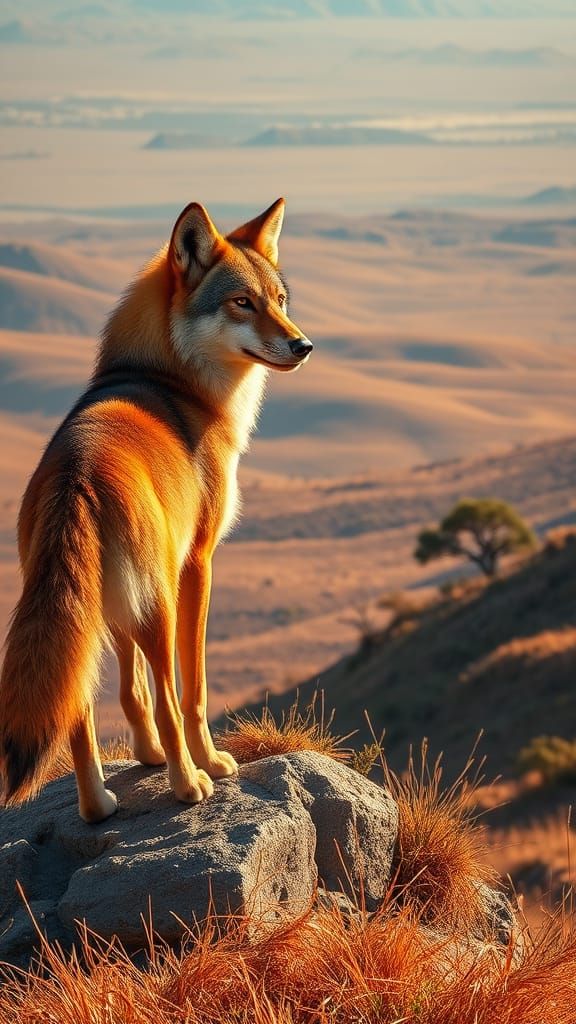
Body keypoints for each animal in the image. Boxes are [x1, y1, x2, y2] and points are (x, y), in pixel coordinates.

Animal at [0, 198, 312, 822]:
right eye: (242, 303)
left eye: (280, 300)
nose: (303, 345)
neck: (170, 380)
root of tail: (76, 472)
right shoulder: (198, 562)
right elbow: (191, 692)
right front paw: (206, 760)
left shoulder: (120, 603)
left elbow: (130, 691)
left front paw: (144, 756)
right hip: (159, 605)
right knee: (168, 693)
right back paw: (190, 784)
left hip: (91, 613)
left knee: (79, 709)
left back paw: (98, 806)